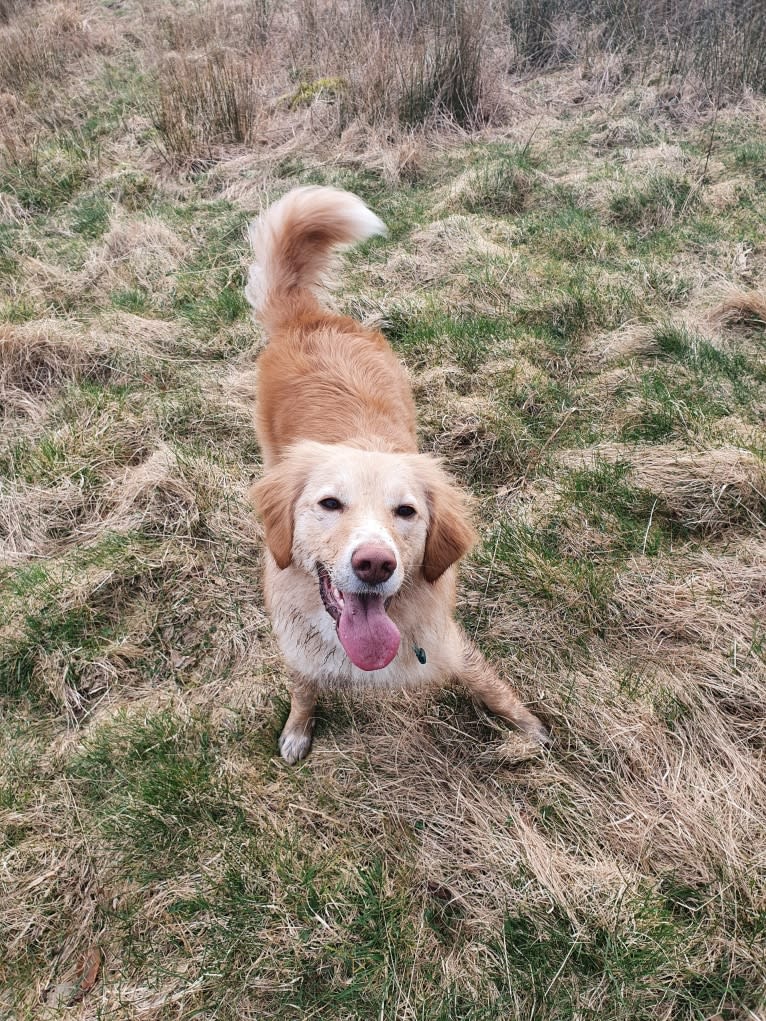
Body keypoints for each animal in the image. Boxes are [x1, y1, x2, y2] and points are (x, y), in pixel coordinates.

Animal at [243, 187, 547, 763]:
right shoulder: (298, 648)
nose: (375, 564)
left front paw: (527, 726)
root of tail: (308, 317)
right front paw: (298, 729)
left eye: (406, 511)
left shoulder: (446, 642)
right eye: (329, 504)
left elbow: (488, 683)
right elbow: (303, 686)